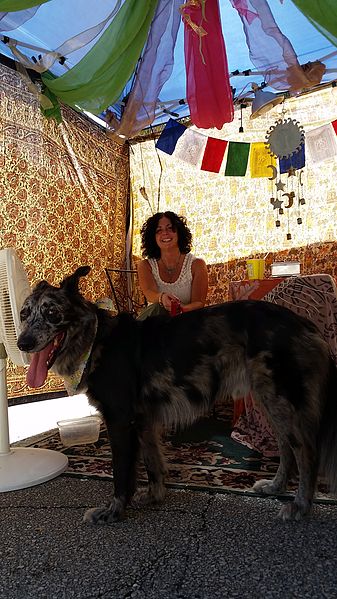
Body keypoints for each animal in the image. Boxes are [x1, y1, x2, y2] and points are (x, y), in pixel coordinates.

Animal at [17, 268, 336, 524]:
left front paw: (113, 511)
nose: (23, 343)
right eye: (23, 314)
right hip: (269, 400)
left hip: (280, 400)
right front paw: (154, 496)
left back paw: (301, 505)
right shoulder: (143, 421)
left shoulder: (120, 421)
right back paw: (276, 487)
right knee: (286, 447)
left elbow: (122, 472)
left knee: (306, 451)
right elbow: (153, 462)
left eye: (52, 313)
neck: (97, 341)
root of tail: (304, 324)